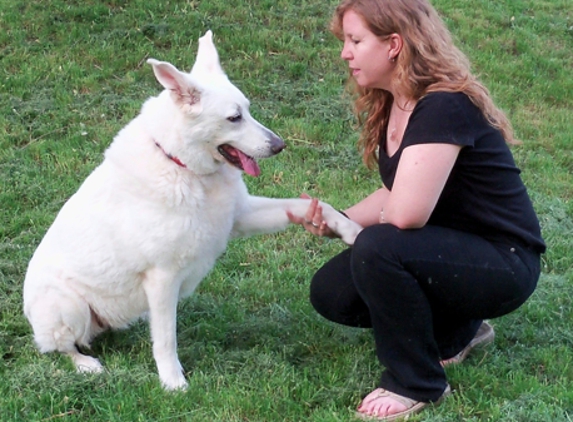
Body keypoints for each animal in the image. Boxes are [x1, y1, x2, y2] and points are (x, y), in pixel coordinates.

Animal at [24, 30, 362, 390]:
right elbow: (165, 339)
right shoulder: (162, 278)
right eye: (234, 118)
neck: (182, 166)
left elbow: (310, 204)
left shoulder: (240, 216)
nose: (279, 145)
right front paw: (173, 384)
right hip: (69, 305)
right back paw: (87, 364)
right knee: (63, 348)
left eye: (248, 110)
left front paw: (348, 229)